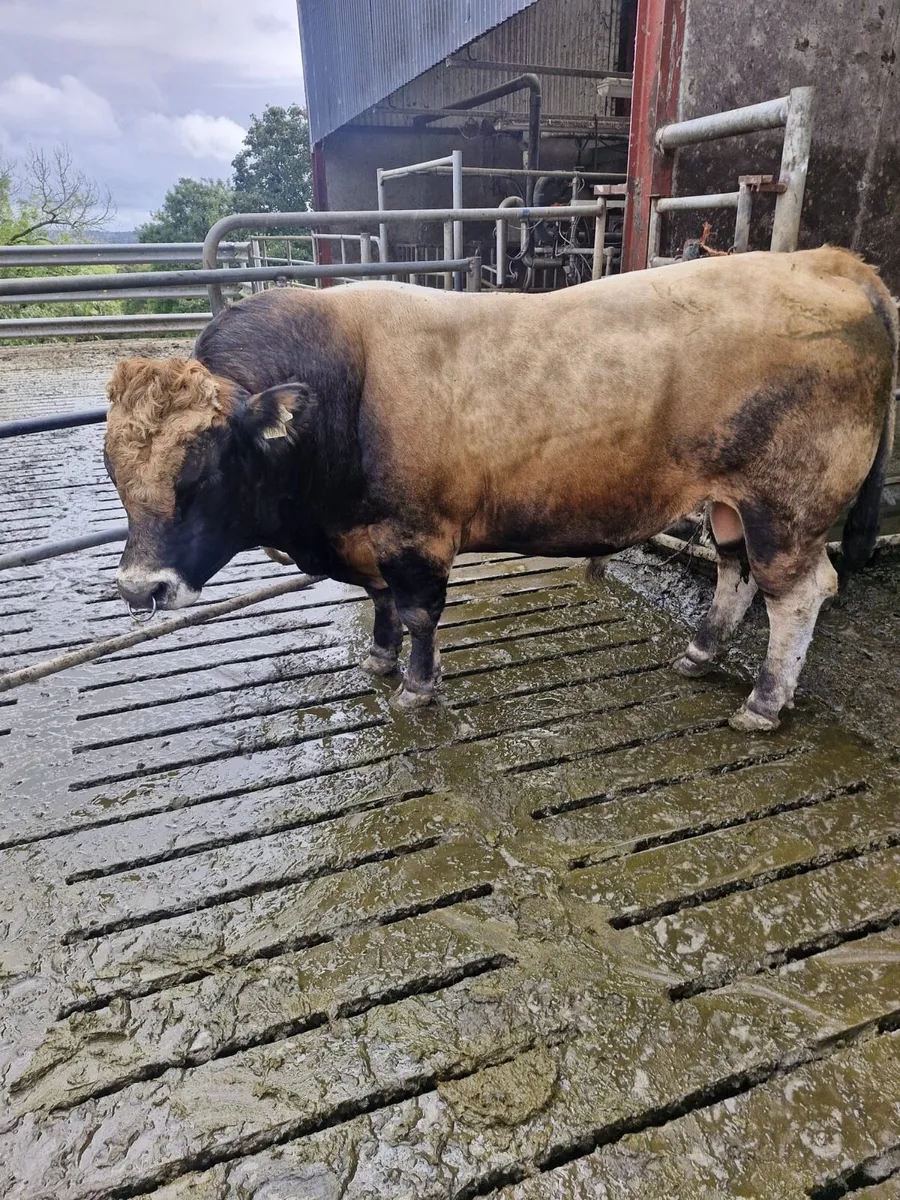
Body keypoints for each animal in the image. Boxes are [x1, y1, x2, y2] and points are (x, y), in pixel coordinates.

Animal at [104, 247, 896, 733]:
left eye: (203, 473)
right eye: (112, 468)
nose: (141, 589)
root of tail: (824, 261)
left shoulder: (416, 532)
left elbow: (419, 612)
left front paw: (417, 687)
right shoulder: (367, 534)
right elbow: (380, 603)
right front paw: (378, 660)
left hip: (787, 506)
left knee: (799, 592)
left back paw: (764, 700)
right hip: (730, 500)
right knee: (736, 573)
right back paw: (700, 654)